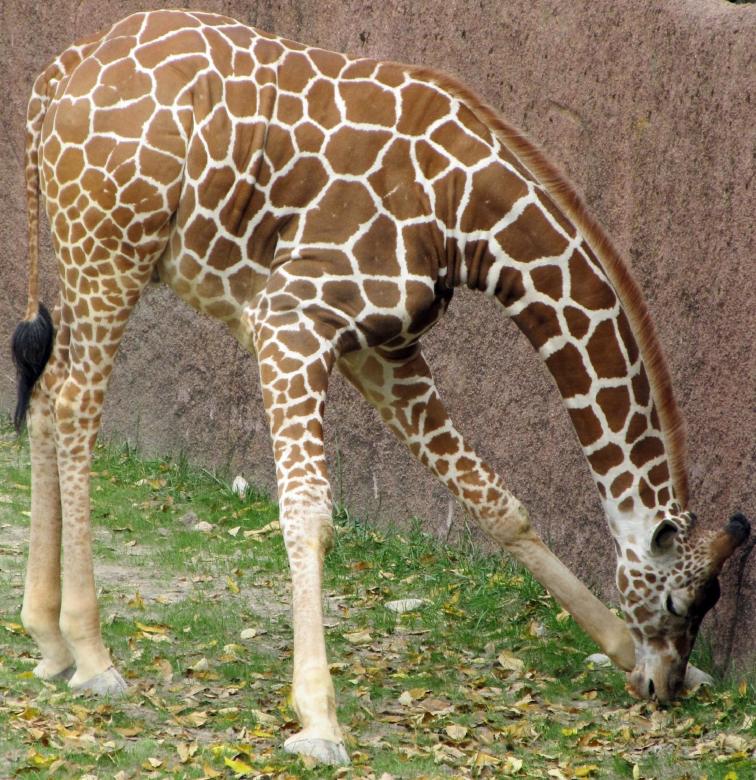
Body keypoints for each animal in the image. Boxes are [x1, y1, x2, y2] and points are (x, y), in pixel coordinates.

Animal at [11, 9, 749, 766]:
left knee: (44, 395)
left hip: (84, 252)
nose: (665, 685)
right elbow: (308, 511)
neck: (468, 215)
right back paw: (93, 656)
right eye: (679, 603)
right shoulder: (291, 319)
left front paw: (620, 649)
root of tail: (54, 80)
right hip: (112, 248)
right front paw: (319, 721)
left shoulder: (384, 347)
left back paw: (48, 639)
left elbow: (496, 503)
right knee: (74, 404)